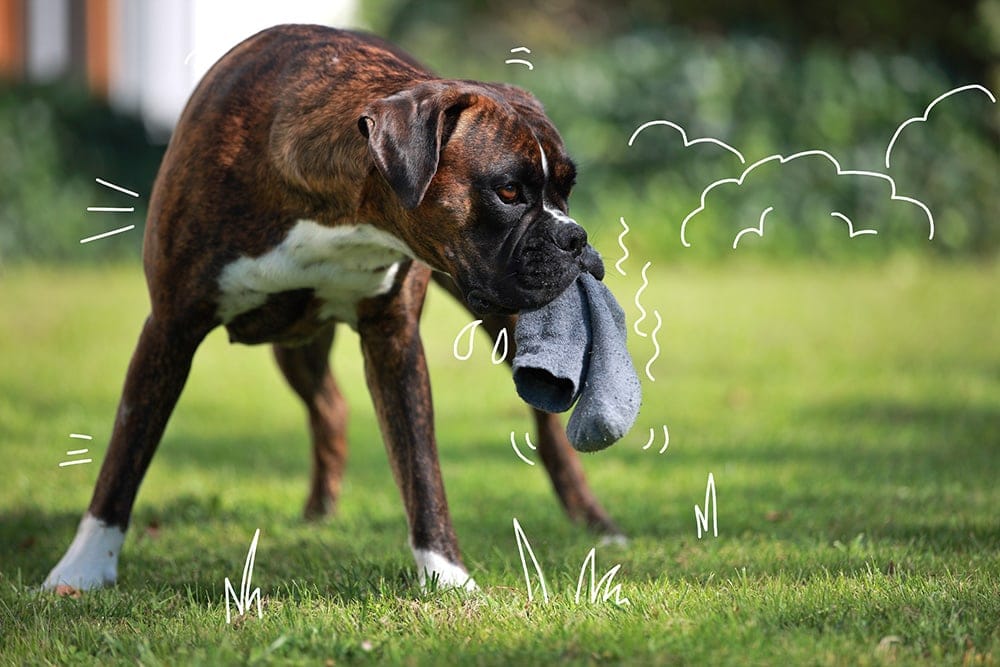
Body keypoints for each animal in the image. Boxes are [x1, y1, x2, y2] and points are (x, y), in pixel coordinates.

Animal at [45, 23, 616, 592]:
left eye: (566, 190)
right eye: (508, 191)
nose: (575, 237)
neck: (342, 212)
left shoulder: (393, 343)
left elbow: (421, 467)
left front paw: (446, 575)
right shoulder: (170, 328)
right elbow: (125, 452)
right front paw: (83, 568)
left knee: (546, 427)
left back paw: (596, 522)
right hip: (295, 347)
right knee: (330, 407)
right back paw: (318, 513)